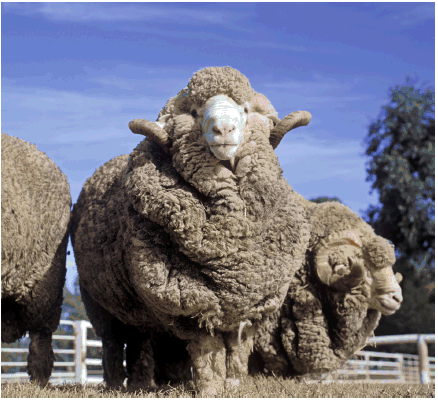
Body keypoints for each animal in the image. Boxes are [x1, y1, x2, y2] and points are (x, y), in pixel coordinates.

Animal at [71, 66, 312, 394]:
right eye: (196, 112)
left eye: (245, 109)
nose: (223, 129)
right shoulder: (188, 301)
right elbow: (208, 350)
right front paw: (210, 388)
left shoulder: (254, 305)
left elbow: (238, 352)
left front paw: (234, 385)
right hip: (98, 301)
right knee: (111, 342)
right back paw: (115, 385)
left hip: (138, 309)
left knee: (140, 341)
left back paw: (142, 384)